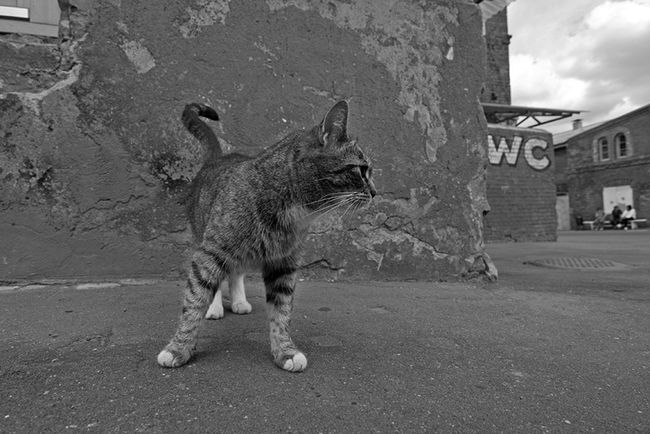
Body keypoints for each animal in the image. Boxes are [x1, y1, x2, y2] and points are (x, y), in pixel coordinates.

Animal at [157, 100, 376, 372]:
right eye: (361, 170)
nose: (375, 192)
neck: (290, 206)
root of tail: (218, 157)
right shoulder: (211, 252)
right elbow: (195, 299)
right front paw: (179, 348)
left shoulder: (283, 264)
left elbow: (281, 311)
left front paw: (285, 351)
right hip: (204, 237)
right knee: (214, 280)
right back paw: (215, 306)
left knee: (236, 272)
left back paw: (239, 302)